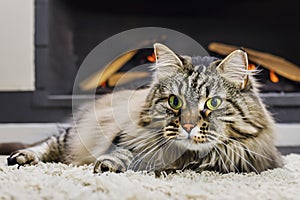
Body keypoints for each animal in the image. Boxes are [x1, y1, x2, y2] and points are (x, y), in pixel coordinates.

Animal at [7, 43, 284, 173]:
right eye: (175, 102)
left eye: (212, 103)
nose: (188, 125)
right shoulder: (124, 138)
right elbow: (123, 153)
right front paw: (107, 166)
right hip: (71, 136)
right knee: (47, 146)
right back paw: (21, 158)